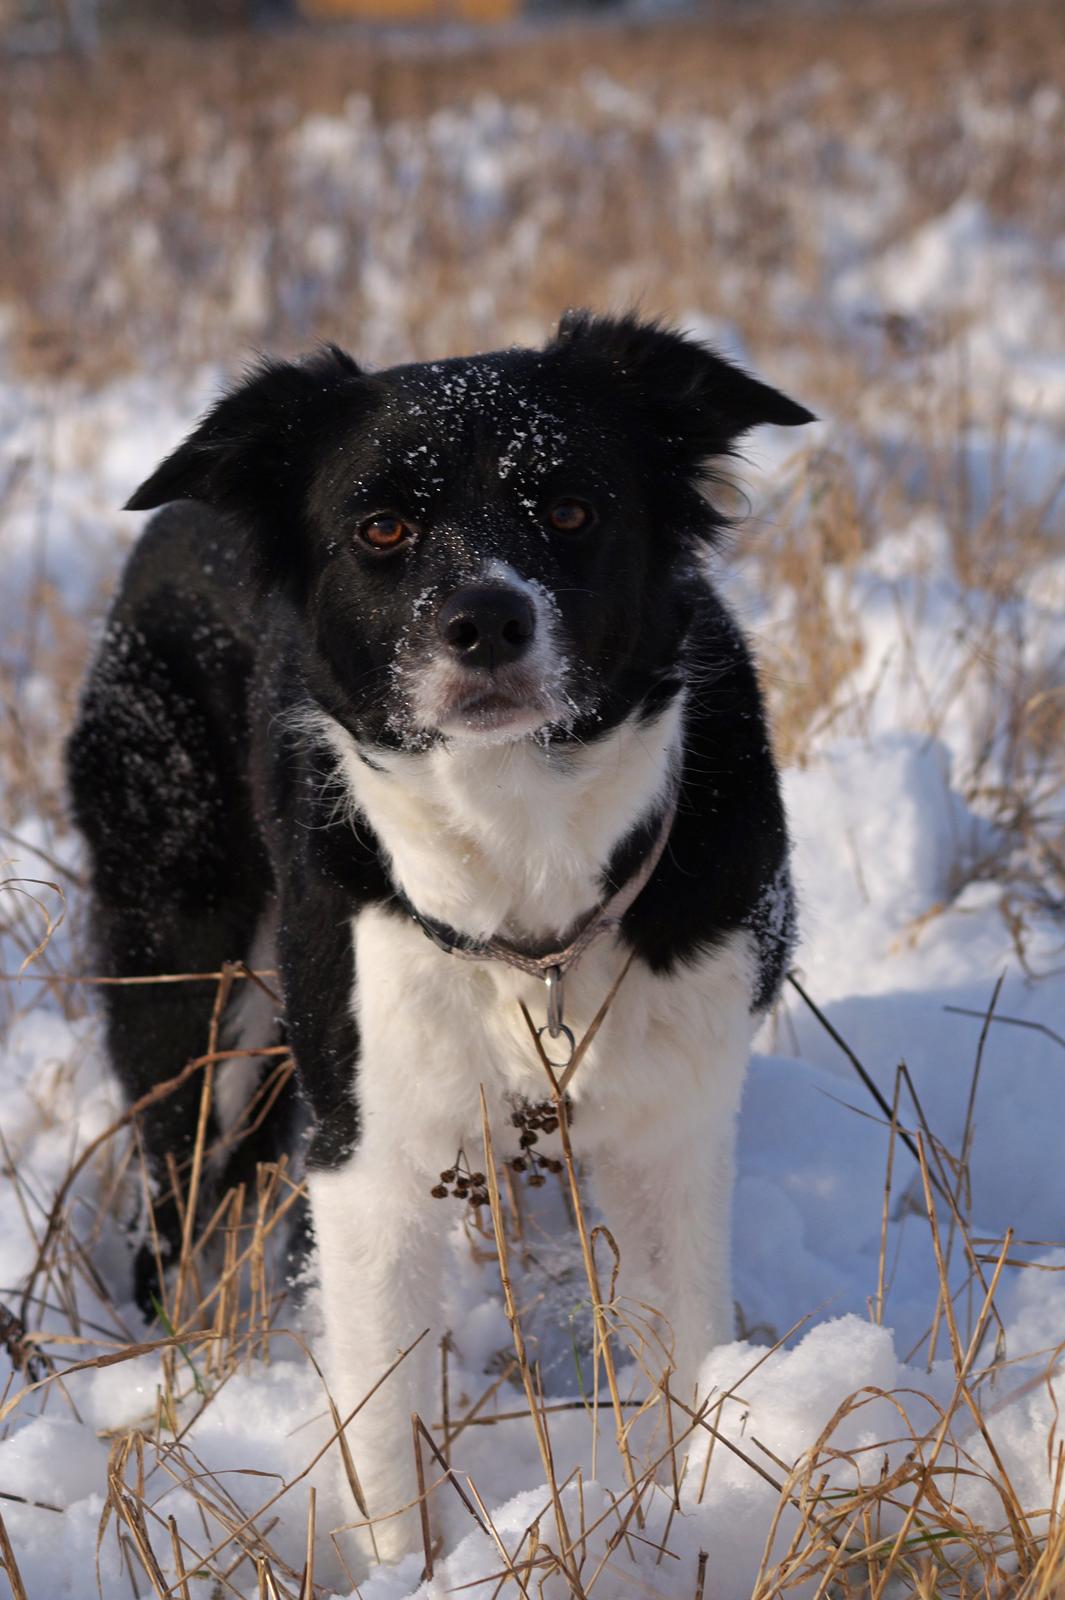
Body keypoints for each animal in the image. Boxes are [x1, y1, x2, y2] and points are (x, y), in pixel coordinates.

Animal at [66, 312, 809, 1561]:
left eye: (570, 507)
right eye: (382, 527)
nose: (487, 620)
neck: (525, 869)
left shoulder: (672, 1130)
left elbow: (677, 1375)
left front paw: (679, 1523)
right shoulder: (375, 1148)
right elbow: (385, 1436)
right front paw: (406, 1571)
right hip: (186, 975)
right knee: (173, 1188)